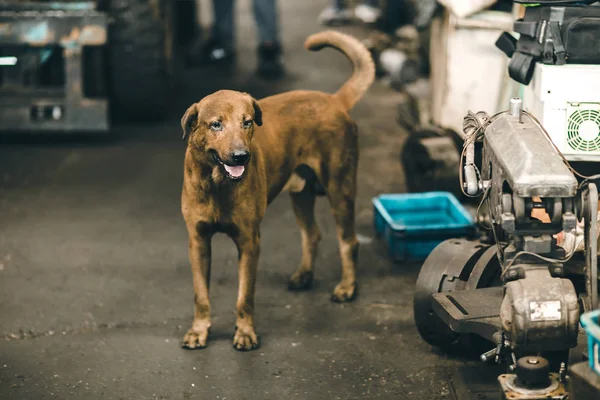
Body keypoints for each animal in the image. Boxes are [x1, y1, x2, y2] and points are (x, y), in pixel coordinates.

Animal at [178, 30, 376, 350]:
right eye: (216, 125)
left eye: (247, 122)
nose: (241, 157)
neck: (218, 184)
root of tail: (335, 100)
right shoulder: (198, 242)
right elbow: (201, 295)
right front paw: (199, 330)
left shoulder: (249, 242)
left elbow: (244, 296)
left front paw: (245, 332)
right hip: (300, 193)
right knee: (312, 234)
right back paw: (304, 275)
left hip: (340, 187)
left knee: (349, 241)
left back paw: (347, 287)